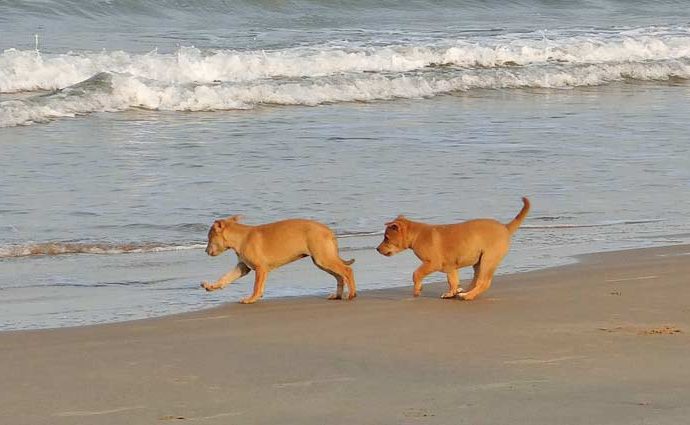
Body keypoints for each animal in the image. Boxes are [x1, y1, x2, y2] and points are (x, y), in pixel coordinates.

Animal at [200, 217, 354, 304]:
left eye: (209, 237)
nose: (206, 251)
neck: (241, 238)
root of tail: (328, 230)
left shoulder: (260, 268)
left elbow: (256, 286)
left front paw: (252, 298)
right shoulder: (242, 267)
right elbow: (225, 278)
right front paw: (212, 286)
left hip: (324, 258)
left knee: (347, 271)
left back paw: (351, 294)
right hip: (321, 261)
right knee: (340, 277)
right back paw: (338, 296)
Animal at [376, 197, 528, 300]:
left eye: (386, 238)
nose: (377, 249)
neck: (417, 235)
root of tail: (505, 228)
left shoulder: (432, 263)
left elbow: (416, 273)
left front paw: (417, 289)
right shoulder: (450, 267)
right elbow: (452, 281)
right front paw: (451, 292)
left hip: (488, 260)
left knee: (484, 282)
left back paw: (468, 296)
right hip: (479, 262)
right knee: (476, 280)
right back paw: (463, 292)